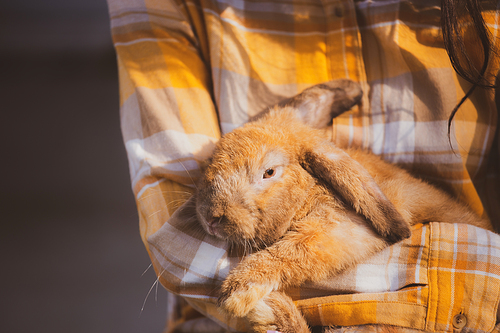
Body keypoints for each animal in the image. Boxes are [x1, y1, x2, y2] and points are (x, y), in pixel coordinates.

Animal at [192, 79, 492, 330]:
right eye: (214, 158)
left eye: (269, 172)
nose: (211, 217)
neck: (310, 191)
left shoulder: (340, 227)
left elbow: (293, 250)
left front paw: (236, 292)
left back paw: (270, 308)